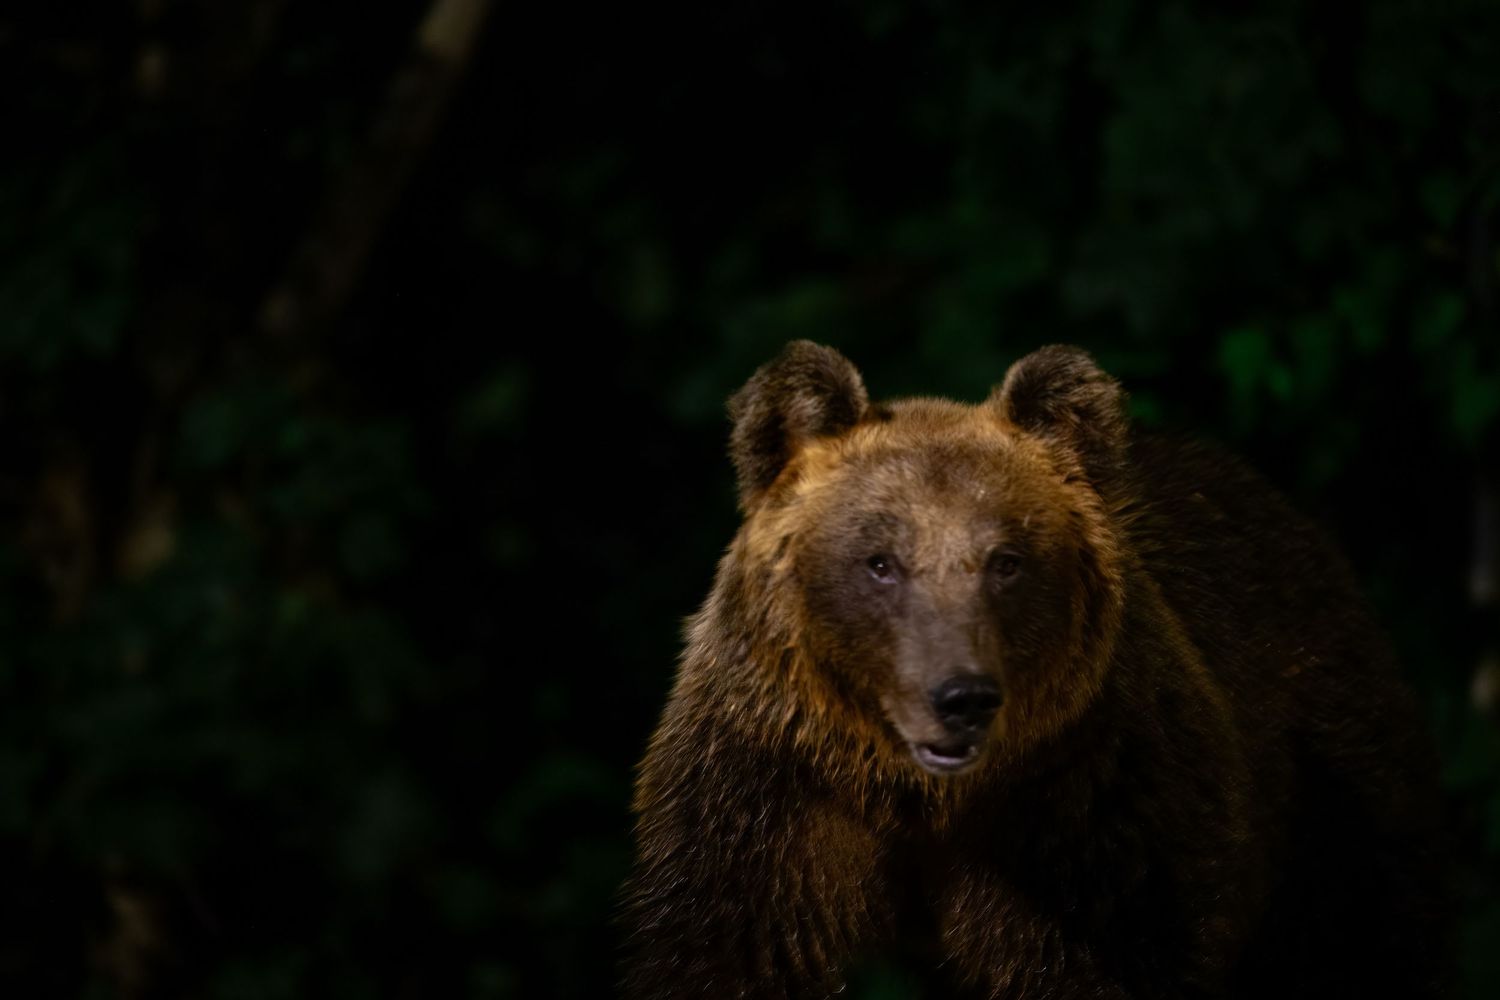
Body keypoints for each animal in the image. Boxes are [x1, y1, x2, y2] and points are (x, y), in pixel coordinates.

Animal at [619, 342, 1448, 999]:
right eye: (880, 561)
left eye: (1006, 560)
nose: (960, 697)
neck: (916, 796)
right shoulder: (765, 795)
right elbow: (728, 951)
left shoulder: (1092, 809)